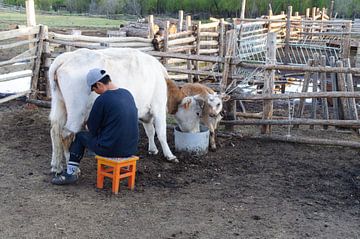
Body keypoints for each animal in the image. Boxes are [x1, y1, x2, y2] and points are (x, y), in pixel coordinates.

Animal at [47, 47, 177, 174]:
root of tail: (67, 57)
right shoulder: (158, 106)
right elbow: (161, 132)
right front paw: (170, 155)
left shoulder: (146, 113)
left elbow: (150, 130)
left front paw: (153, 149)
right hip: (77, 111)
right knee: (66, 134)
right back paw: (73, 168)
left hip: (59, 104)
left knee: (55, 131)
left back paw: (56, 166)